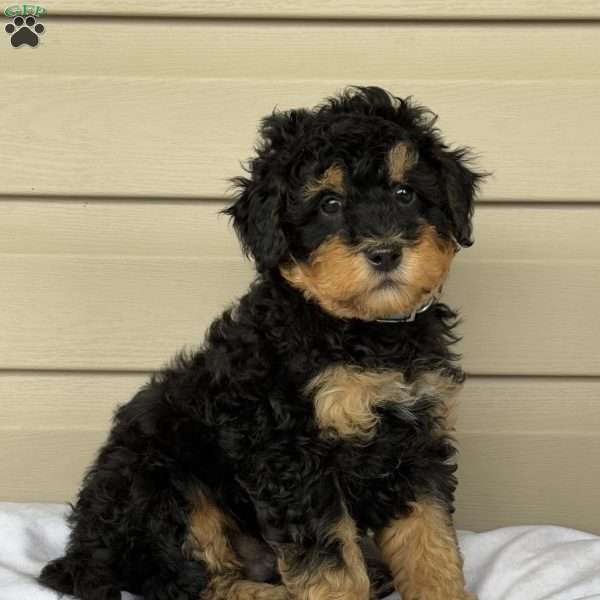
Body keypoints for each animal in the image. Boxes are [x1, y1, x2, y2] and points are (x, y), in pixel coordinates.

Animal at [39, 85, 482, 600]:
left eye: (405, 193)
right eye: (329, 204)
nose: (385, 252)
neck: (366, 332)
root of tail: (84, 551)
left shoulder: (416, 440)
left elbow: (428, 539)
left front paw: (442, 590)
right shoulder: (291, 456)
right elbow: (330, 562)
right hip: (165, 481)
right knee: (189, 580)